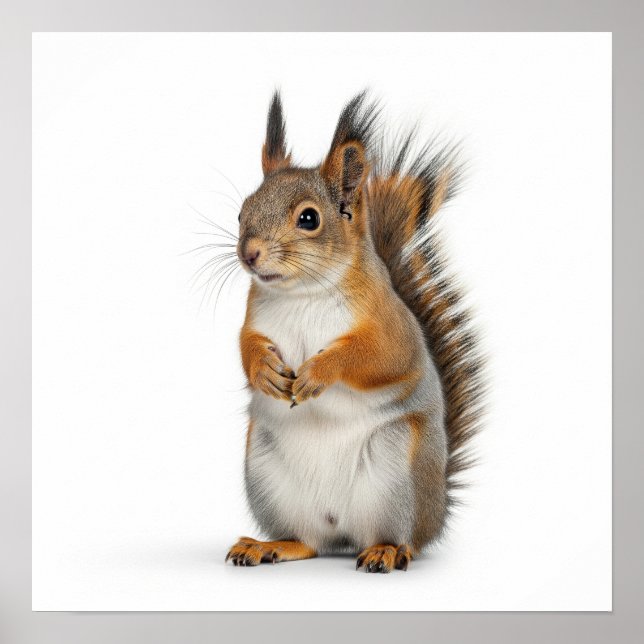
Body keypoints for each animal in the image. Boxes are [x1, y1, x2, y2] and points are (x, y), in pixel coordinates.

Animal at [224, 91, 484, 573]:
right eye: (241, 211)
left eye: (309, 219)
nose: (249, 254)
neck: (304, 292)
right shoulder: (254, 316)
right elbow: (245, 346)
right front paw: (264, 369)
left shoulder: (392, 326)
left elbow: (377, 357)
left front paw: (319, 372)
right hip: (267, 476)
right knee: (308, 541)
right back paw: (269, 545)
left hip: (396, 475)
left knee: (403, 539)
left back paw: (386, 550)